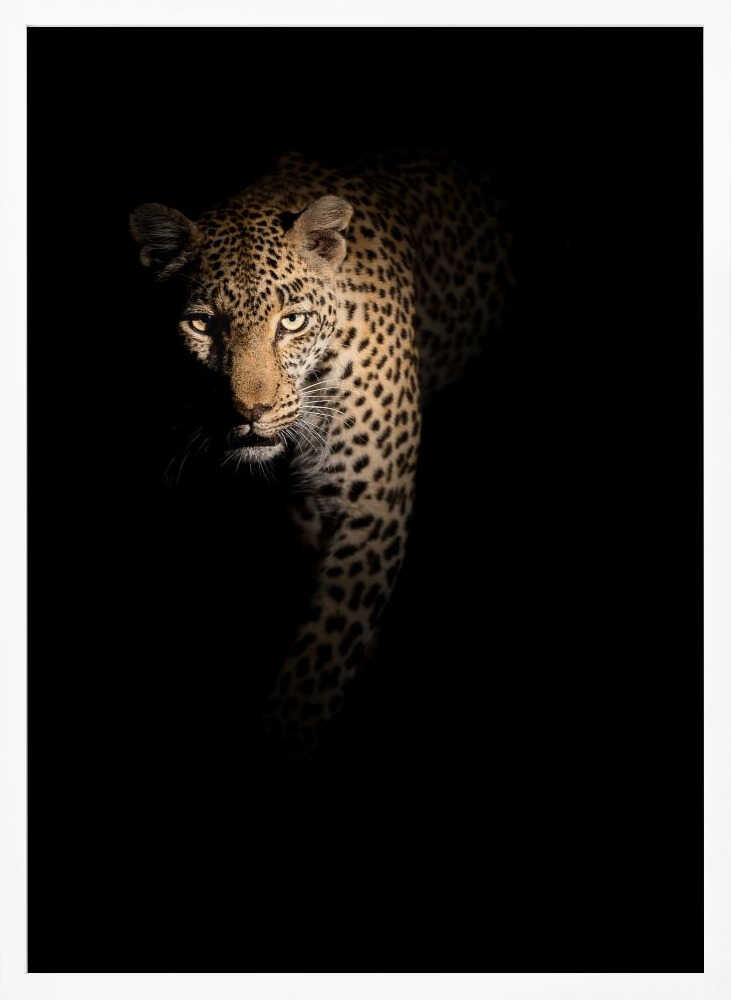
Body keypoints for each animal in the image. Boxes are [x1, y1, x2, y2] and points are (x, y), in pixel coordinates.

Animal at [130, 151, 514, 753]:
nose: (250, 411)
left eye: (292, 321)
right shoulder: (308, 510)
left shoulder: (372, 508)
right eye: (201, 324)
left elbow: (320, 659)